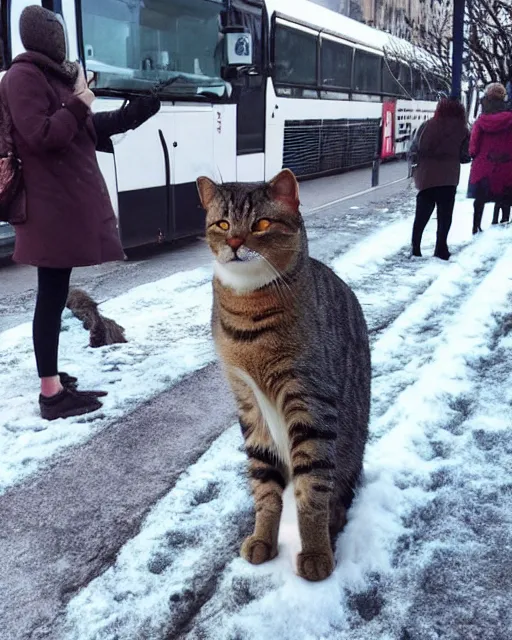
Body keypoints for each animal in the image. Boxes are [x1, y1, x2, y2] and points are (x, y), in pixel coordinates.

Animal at [198, 168, 370, 584]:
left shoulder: (310, 400)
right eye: (222, 224)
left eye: (261, 224)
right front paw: (263, 536)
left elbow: (312, 489)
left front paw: (316, 551)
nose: (235, 242)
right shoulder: (248, 403)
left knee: (337, 488)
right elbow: (264, 484)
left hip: (348, 448)